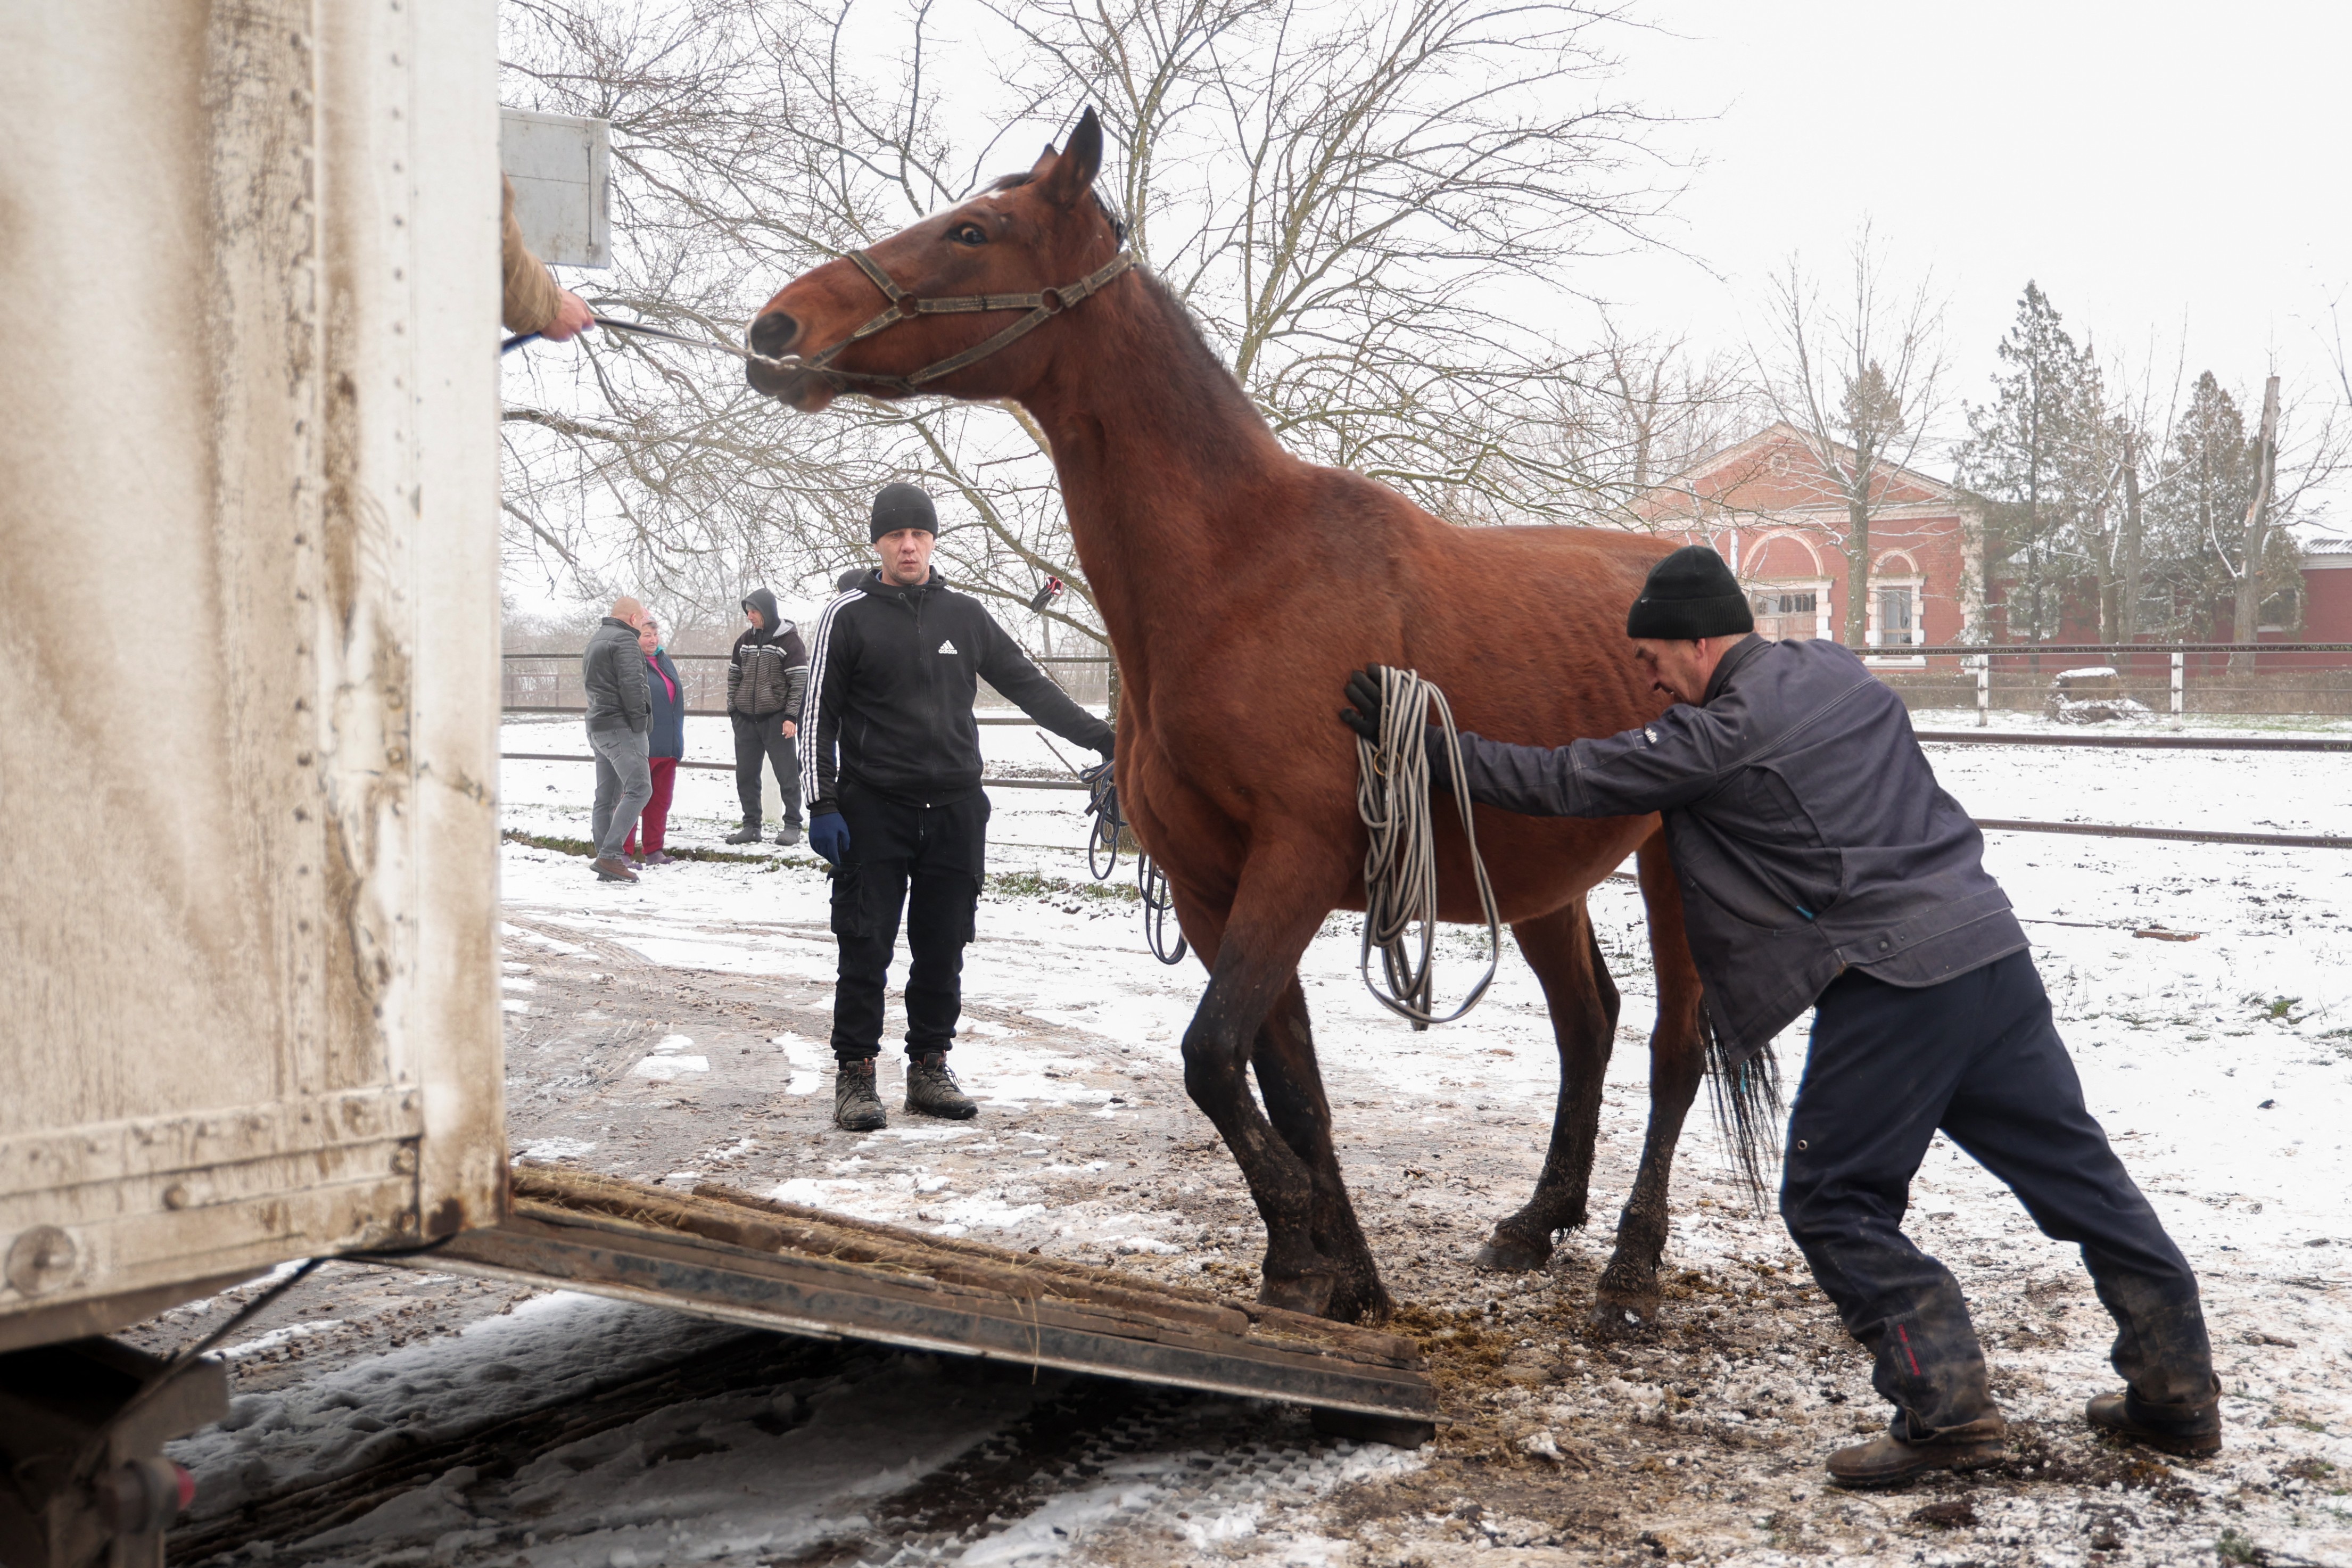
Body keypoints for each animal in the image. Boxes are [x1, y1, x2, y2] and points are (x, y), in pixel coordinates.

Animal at [744, 108, 1773, 1328]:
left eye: (972, 232)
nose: (776, 329)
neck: (1239, 574)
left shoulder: (1293, 862)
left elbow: (1211, 1057)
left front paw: (1301, 1246)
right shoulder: (1208, 884)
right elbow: (1284, 1081)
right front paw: (1333, 1273)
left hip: (1665, 867)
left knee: (1671, 1047)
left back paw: (1629, 1267)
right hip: (1533, 873)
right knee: (1588, 1023)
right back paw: (1534, 1224)